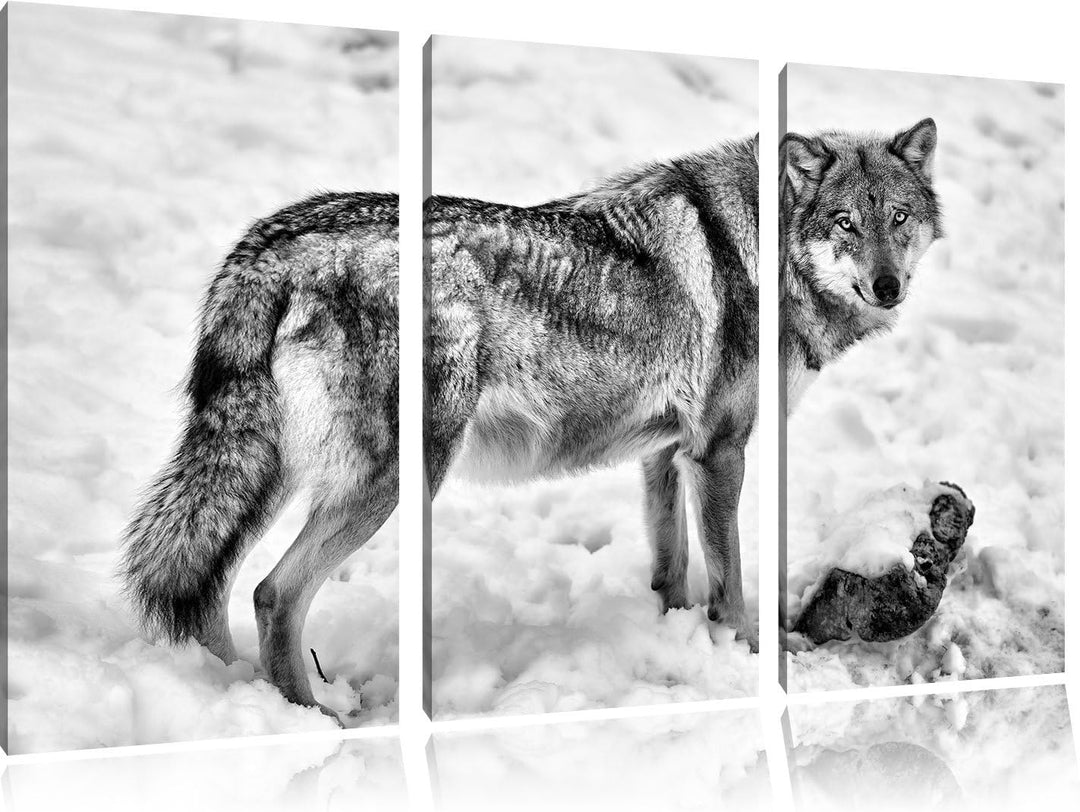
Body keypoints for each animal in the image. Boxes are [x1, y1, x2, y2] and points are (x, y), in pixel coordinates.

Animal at [122, 136, 760, 722]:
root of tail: (268, 250)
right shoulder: (719, 452)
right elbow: (730, 585)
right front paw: (745, 660)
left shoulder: (665, 452)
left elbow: (671, 571)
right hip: (392, 484)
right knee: (273, 594)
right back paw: (317, 720)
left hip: (266, 478)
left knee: (214, 592)